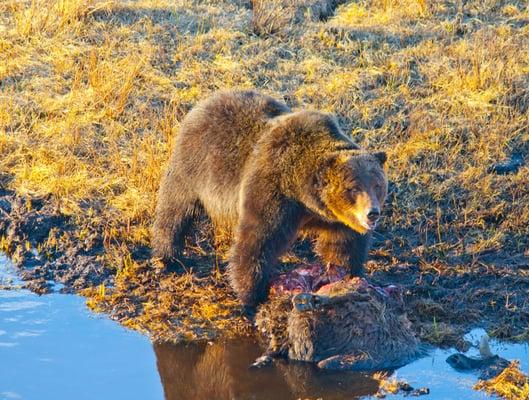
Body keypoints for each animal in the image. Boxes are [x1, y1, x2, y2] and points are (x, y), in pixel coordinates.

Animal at [153, 90, 388, 310]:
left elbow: (344, 244)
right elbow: (257, 240)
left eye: (378, 185)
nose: (372, 213)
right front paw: (251, 295)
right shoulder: (273, 189)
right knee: (175, 208)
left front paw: (346, 274)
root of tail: (205, 102)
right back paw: (167, 255)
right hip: (195, 166)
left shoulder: (335, 218)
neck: (305, 195)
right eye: (353, 188)